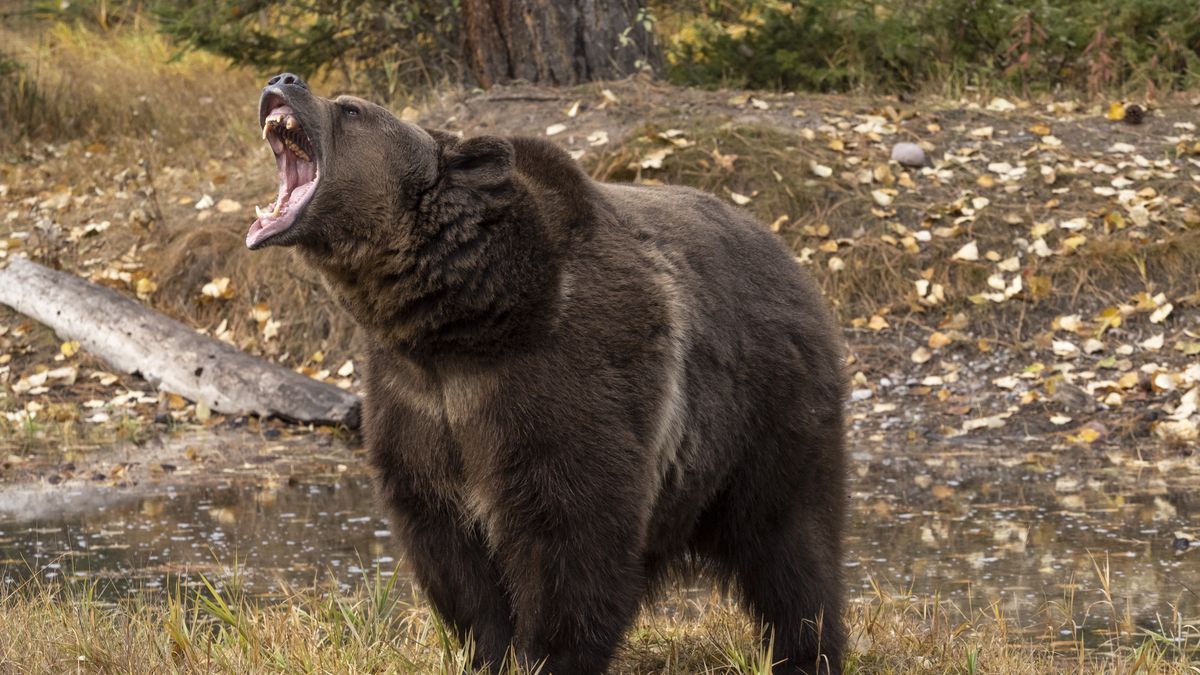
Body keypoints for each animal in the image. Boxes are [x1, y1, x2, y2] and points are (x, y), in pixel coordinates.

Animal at [247, 72, 847, 674]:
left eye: (351, 109)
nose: (284, 80)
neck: (460, 322)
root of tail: (789, 255)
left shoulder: (561, 379)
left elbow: (570, 538)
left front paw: (548, 655)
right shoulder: (418, 403)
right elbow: (451, 551)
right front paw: (488, 650)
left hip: (767, 411)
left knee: (791, 547)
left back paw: (807, 650)